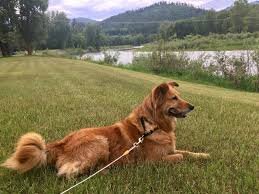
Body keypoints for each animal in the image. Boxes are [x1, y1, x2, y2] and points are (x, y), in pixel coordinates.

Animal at [1, 81, 210, 178]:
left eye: (179, 96)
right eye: (174, 98)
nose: (193, 106)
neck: (154, 124)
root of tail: (62, 143)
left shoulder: (171, 149)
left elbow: (187, 152)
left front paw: (204, 155)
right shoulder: (151, 161)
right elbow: (180, 156)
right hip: (100, 141)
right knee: (66, 173)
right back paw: (103, 171)